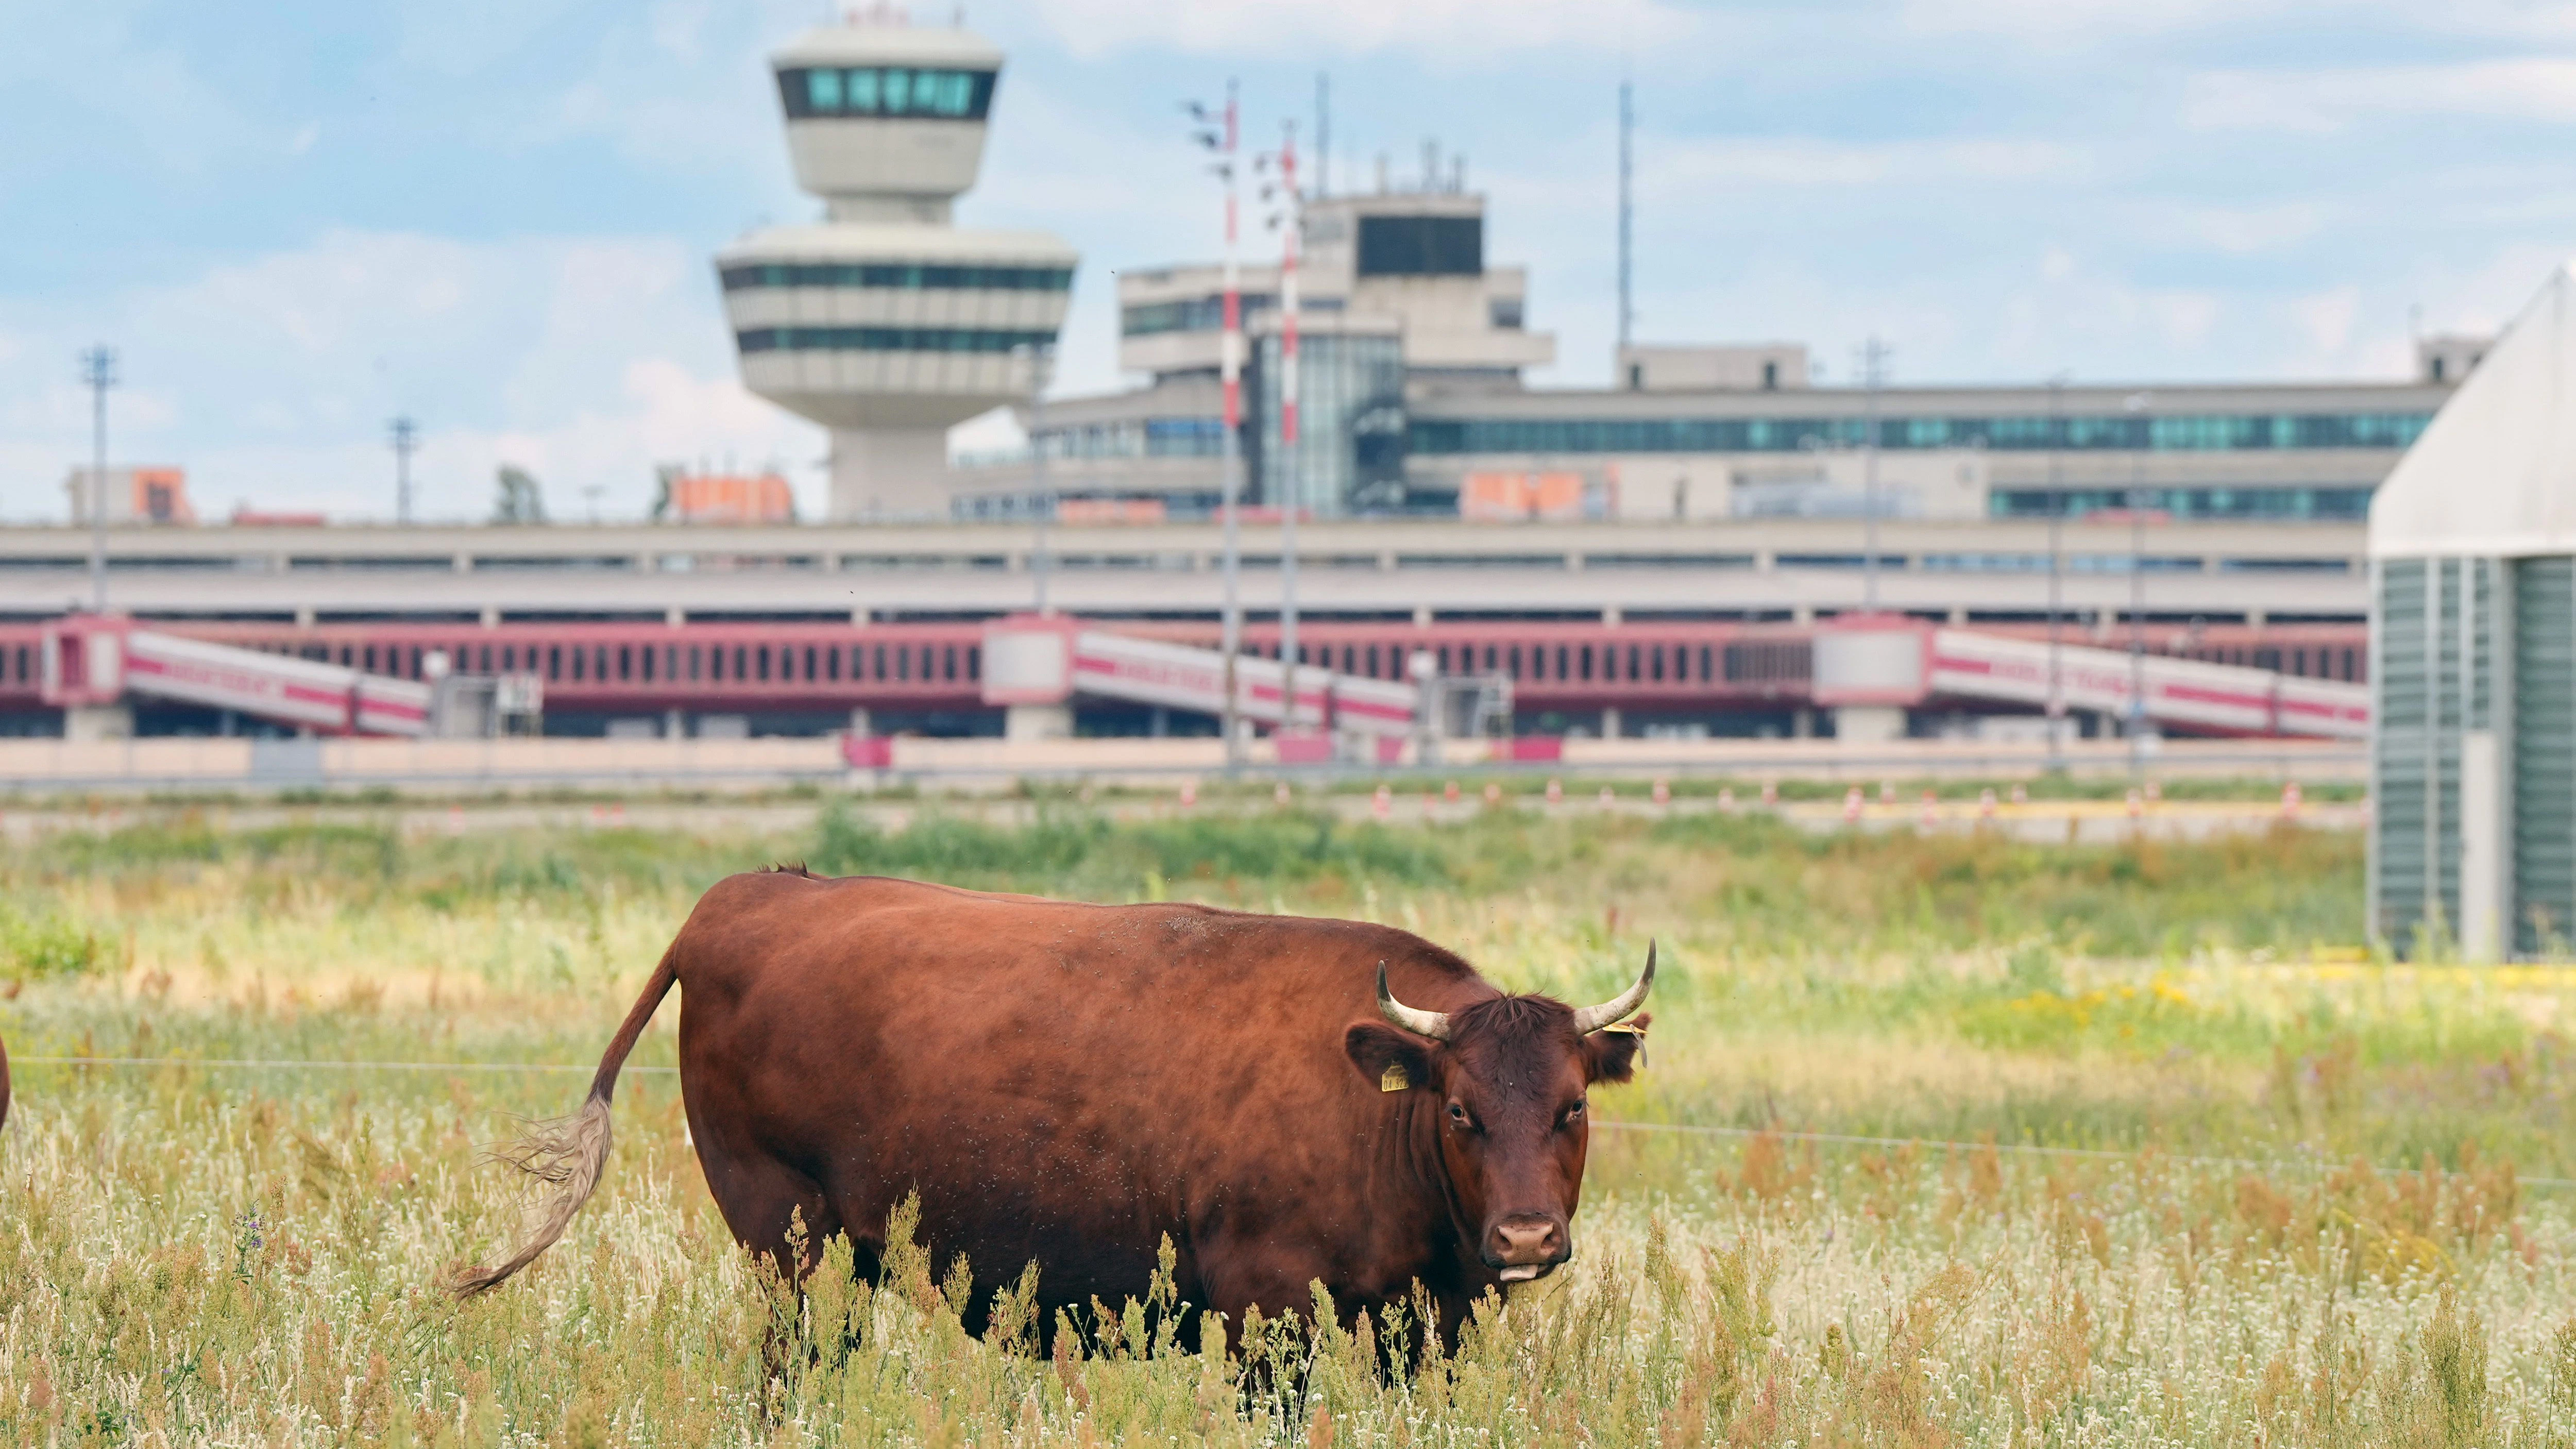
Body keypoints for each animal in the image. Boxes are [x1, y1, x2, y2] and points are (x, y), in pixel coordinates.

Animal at [451, 870, 1653, 1350]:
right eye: (1458, 1110)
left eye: (1570, 1108)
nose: (1526, 1237)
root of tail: (753, 889)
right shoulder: (1265, 1311)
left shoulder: (1431, 1321)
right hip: (784, 1236)